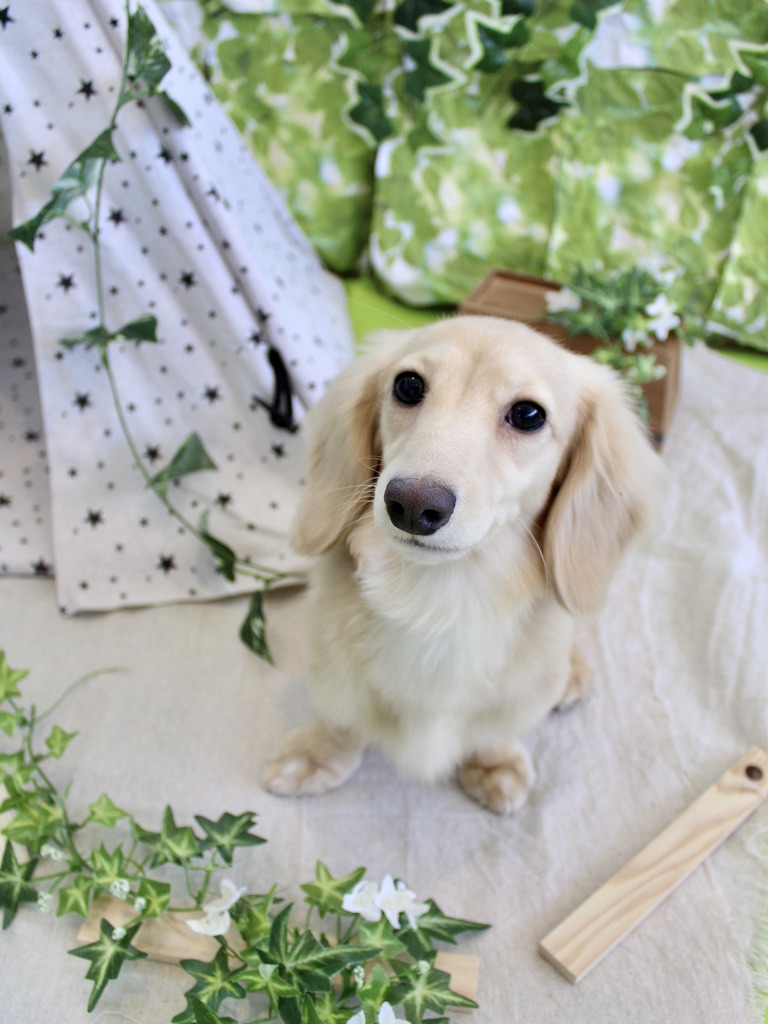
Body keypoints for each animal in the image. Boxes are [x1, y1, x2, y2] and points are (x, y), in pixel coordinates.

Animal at [263, 315, 663, 814]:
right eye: (408, 385)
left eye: (529, 414)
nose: (412, 505)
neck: (439, 600)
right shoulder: (333, 666)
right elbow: (342, 719)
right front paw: (318, 755)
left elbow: (494, 732)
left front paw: (494, 762)